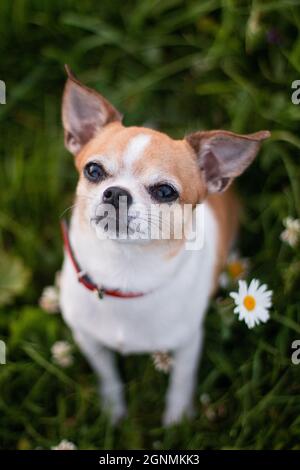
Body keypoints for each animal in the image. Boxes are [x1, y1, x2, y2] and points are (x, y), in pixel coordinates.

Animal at [59, 68, 270, 424]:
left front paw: (177, 421)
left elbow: (181, 380)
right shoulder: (88, 339)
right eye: (93, 170)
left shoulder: (187, 343)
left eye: (165, 192)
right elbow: (107, 375)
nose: (116, 192)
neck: (123, 269)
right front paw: (113, 413)